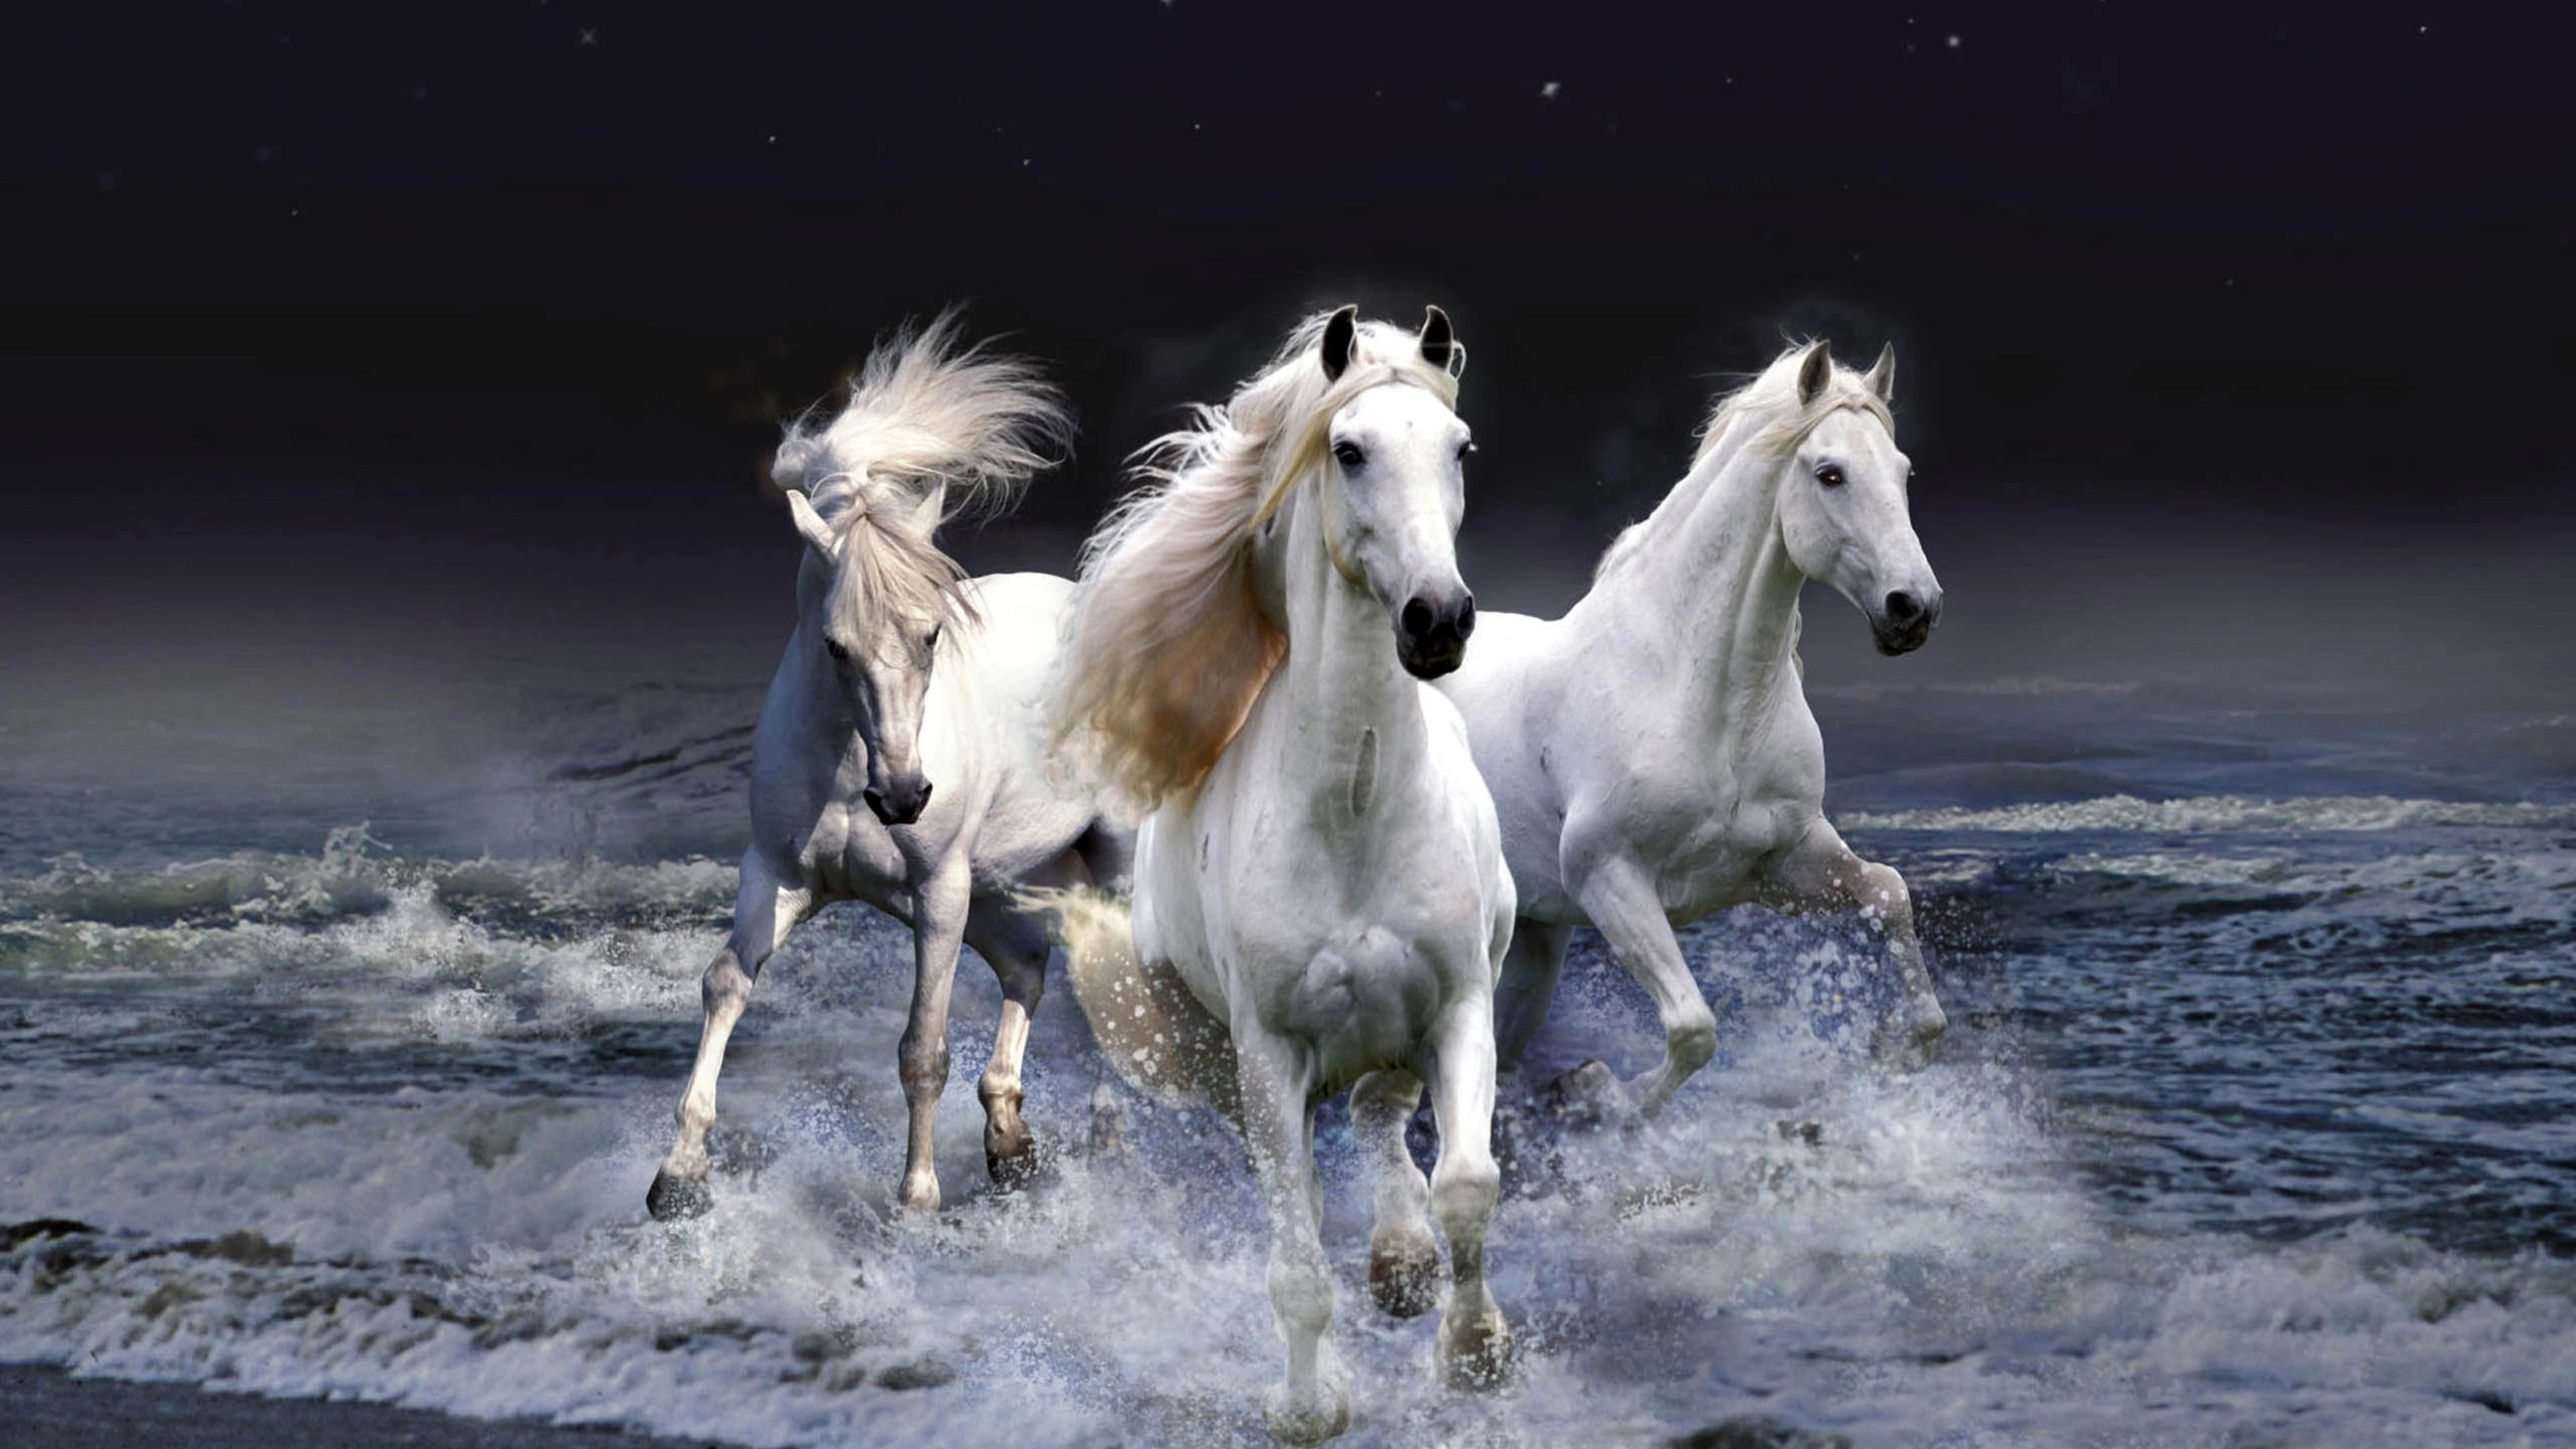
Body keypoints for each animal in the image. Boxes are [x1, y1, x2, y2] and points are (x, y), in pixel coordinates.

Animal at [646, 313, 1128, 1222]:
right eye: (836, 646)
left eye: (932, 633)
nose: (903, 797)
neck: (847, 769)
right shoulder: (780, 876)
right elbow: (725, 984)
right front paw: (678, 1177)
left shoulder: (936, 893)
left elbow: (922, 1048)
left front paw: (916, 1203)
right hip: (1001, 884)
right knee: (1029, 966)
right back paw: (1010, 1143)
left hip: (1101, 864)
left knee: (1119, 984)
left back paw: (1105, 1133)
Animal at [1043, 306, 1516, 1443]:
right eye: (1348, 451)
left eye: (1460, 448)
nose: (1439, 619)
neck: (1354, 810)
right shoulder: (1268, 1058)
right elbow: (1297, 1264)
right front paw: (1310, 1406)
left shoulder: (1458, 1005)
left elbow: (1467, 1184)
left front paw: (1475, 1353)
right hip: (1221, 1062)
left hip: (1402, 1028)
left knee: (1384, 1116)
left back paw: (1402, 1265)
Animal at [1432, 339, 1949, 1123]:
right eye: (1830, 474)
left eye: (1902, 471)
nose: (1912, 609)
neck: (1703, 701)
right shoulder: (1609, 878)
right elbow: (1693, 1029)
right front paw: (1598, 1093)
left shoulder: (1780, 865)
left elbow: (1889, 895)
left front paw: (1892, 1048)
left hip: (1534, 942)